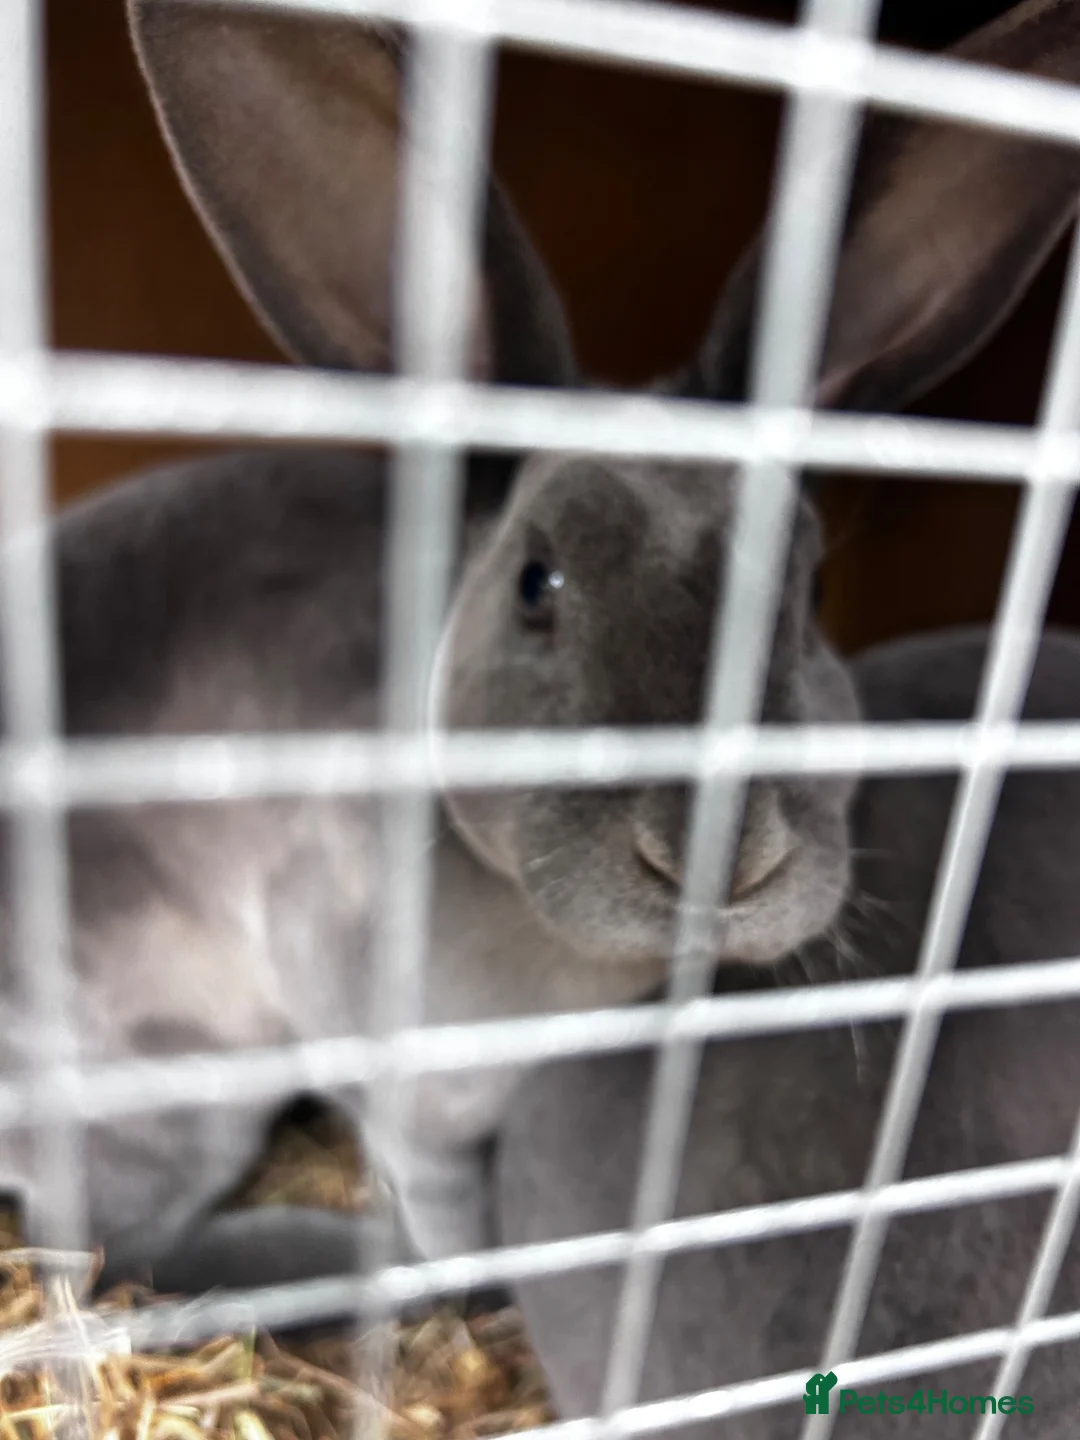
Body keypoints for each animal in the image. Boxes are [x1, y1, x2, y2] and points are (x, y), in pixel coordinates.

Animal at [26, 0, 1079, 1303]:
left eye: (811, 587)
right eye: (539, 583)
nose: (719, 851)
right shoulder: (413, 1108)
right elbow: (450, 1221)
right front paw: (461, 1275)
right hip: (177, 1086)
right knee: (102, 1244)